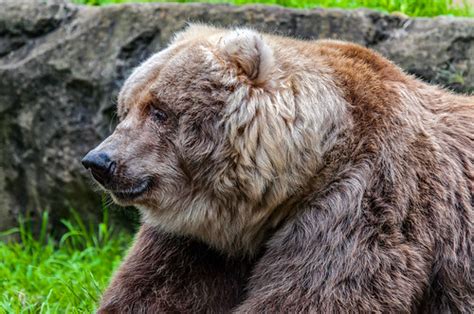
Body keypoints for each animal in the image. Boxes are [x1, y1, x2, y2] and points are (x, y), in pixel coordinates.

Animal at [82, 25, 474, 314]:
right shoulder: (198, 242)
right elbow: (153, 290)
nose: (99, 161)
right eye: (125, 108)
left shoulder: (364, 201)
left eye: (159, 111)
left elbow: (314, 293)